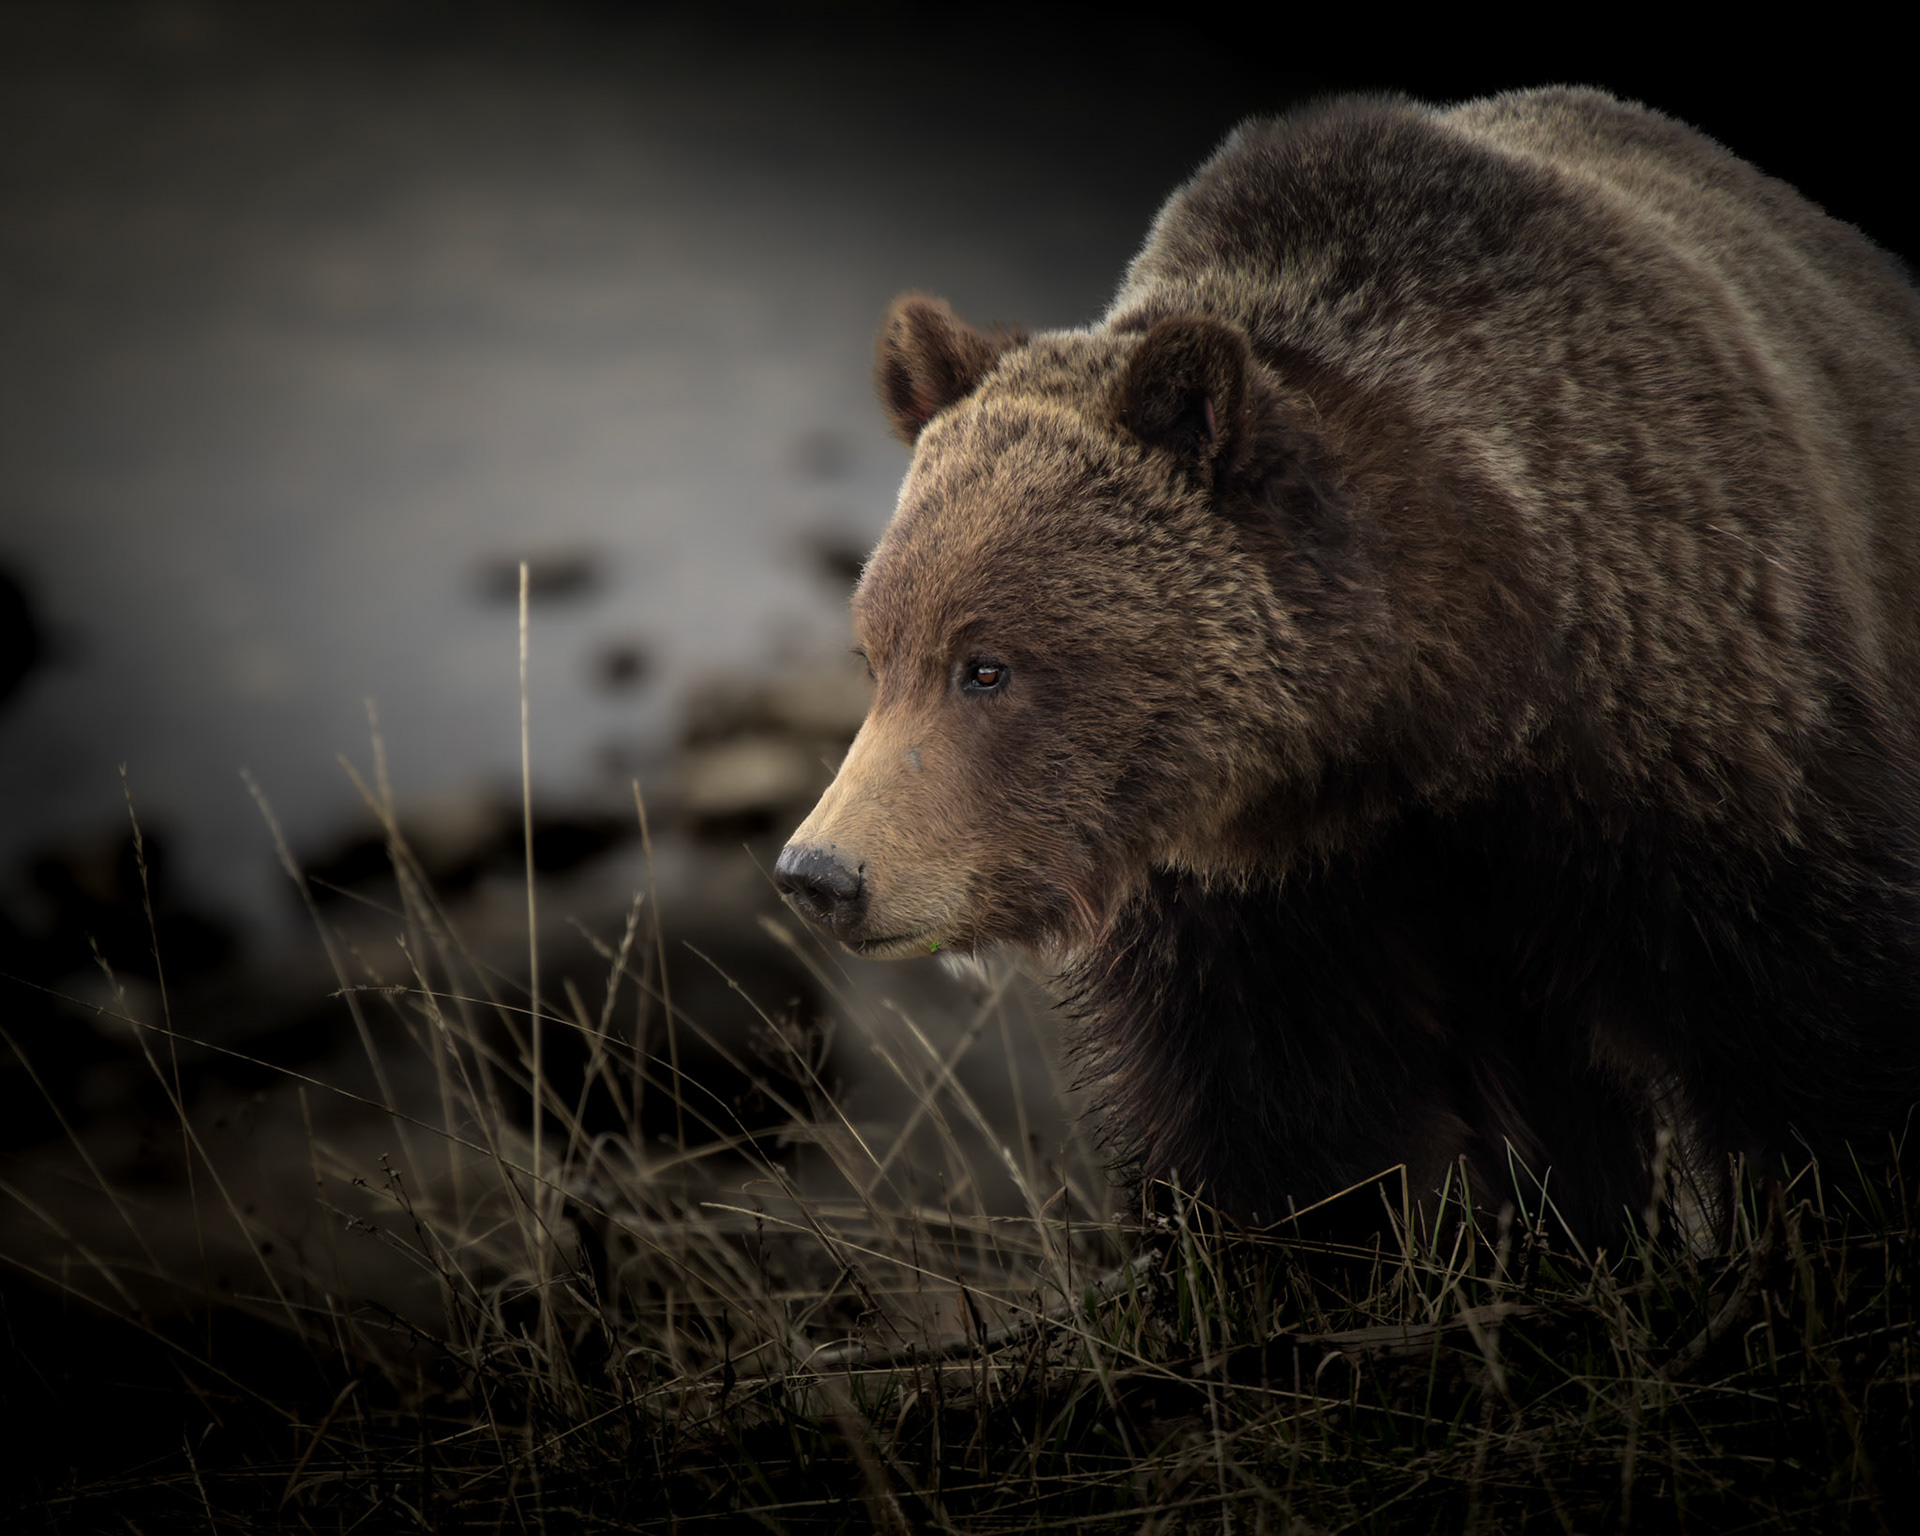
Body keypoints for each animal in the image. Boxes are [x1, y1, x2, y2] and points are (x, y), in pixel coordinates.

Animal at [774, 87, 1920, 1245]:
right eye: (877, 655)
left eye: (988, 667)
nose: (822, 873)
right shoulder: (1265, 898)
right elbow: (1280, 1133)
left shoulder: (1703, 737)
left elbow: (1806, 1038)